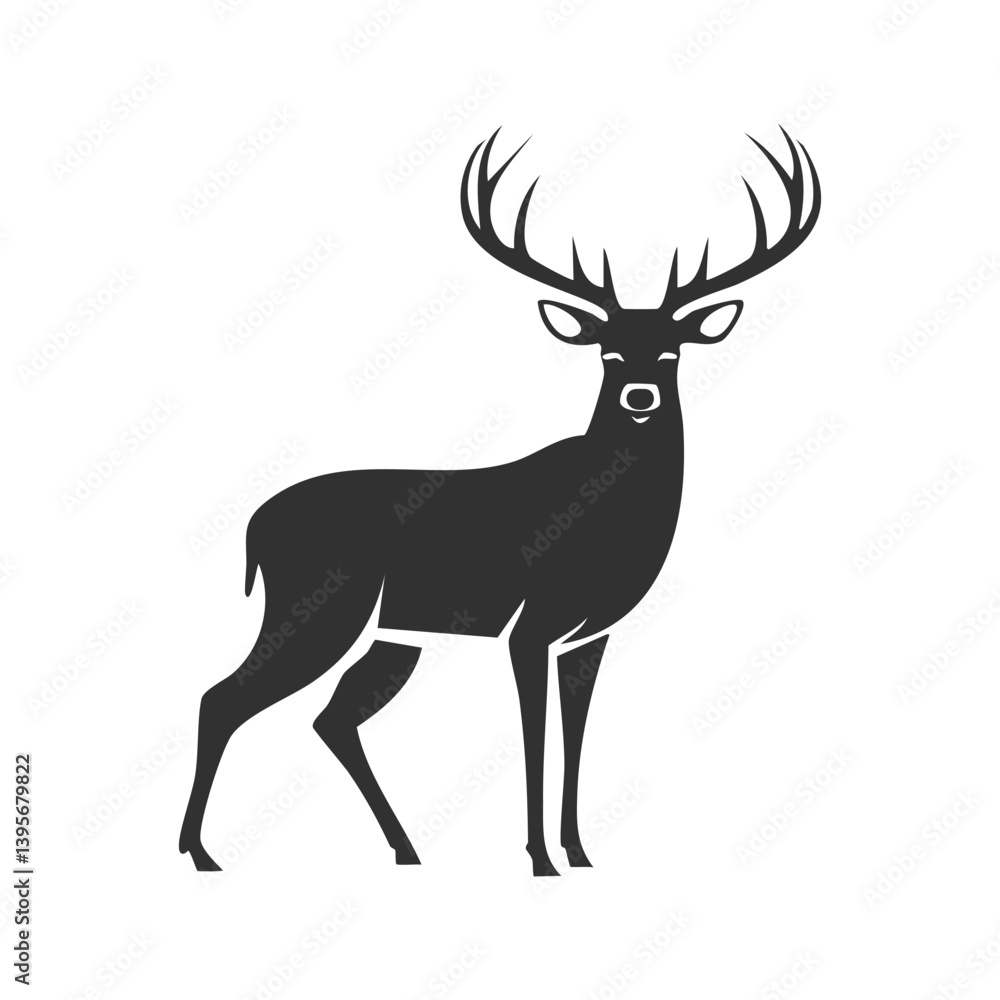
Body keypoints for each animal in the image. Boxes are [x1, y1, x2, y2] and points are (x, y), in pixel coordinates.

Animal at [180, 127, 820, 877]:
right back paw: (201, 852)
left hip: (391, 634)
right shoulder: (530, 624)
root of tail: (255, 525)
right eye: (607, 353)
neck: (607, 518)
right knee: (223, 697)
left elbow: (575, 737)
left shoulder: (590, 636)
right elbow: (534, 737)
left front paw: (580, 853)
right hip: (319, 606)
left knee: (330, 719)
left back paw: (405, 850)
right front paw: (540, 858)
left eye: (671, 353)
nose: (640, 397)